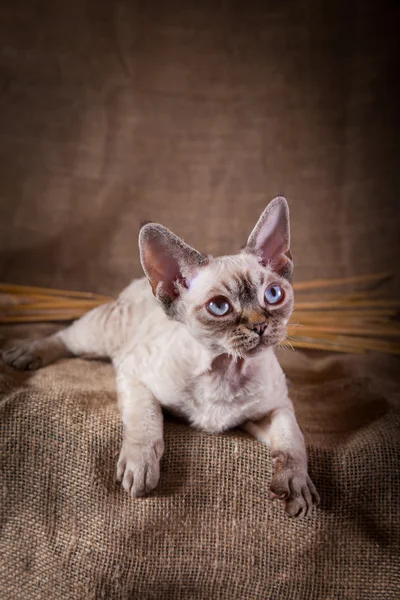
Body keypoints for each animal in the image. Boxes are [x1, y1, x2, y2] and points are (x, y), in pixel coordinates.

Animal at [0, 196, 318, 516]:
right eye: (219, 307)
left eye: (274, 295)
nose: (260, 325)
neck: (226, 368)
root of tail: (140, 283)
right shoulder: (134, 376)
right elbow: (146, 422)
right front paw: (140, 468)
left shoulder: (277, 407)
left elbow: (293, 440)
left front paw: (294, 484)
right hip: (99, 335)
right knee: (65, 336)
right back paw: (25, 354)